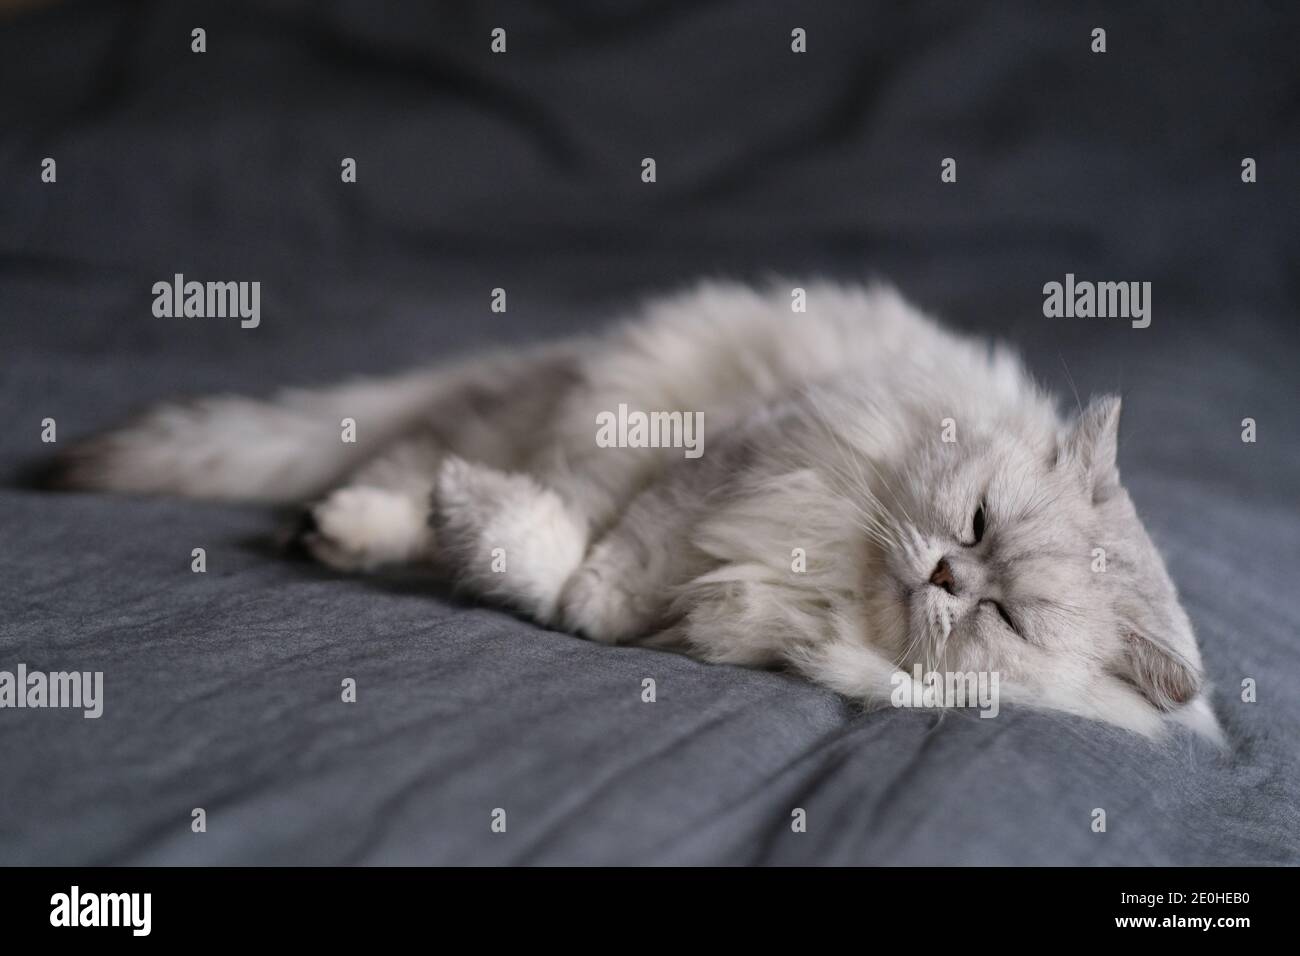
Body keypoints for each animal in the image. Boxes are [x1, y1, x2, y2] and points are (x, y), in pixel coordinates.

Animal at [45, 280, 1222, 743]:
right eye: (974, 524)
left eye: (1005, 616)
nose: (942, 573)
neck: (833, 578)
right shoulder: (725, 462)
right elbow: (598, 555)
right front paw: (532, 558)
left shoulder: (724, 594)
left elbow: (591, 596)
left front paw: (530, 571)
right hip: (579, 398)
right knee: (409, 466)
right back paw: (349, 526)